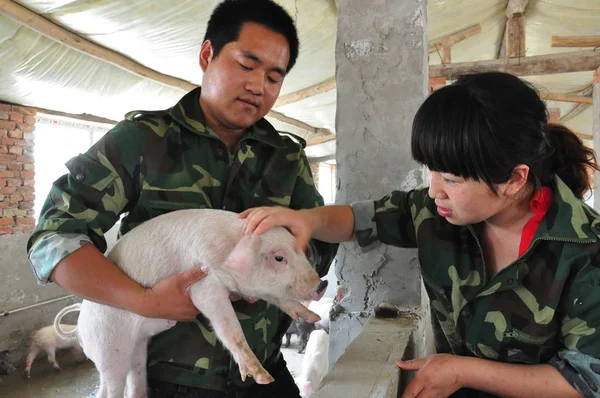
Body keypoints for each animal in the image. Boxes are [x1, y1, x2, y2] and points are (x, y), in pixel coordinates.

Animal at [56, 208, 328, 398]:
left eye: (302, 250)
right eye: (279, 258)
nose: (322, 285)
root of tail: (79, 326)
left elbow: (278, 297)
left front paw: (312, 317)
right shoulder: (203, 283)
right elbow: (227, 326)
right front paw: (262, 378)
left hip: (138, 349)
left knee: (136, 380)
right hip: (108, 349)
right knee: (109, 387)